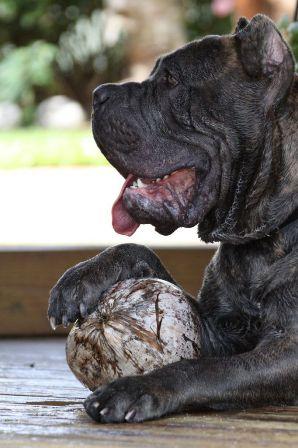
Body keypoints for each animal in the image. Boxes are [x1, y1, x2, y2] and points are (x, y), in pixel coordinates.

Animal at [47, 14, 296, 424]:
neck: (261, 236)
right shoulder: (217, 330)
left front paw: (135, 389)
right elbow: (140, 250)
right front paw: (83, 276)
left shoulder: (288, 349)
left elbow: (204, 369)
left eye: (171, 81)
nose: (98, 94)